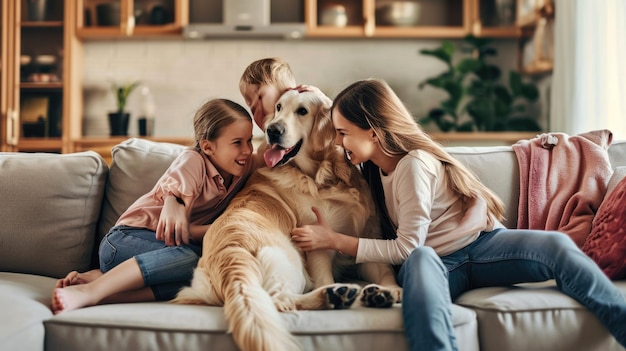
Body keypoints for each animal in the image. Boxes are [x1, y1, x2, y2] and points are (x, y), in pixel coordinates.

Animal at [173, 89, 402, 351]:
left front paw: (389, 291)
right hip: (290, 263)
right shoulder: (317, 246)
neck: (324, 177)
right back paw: (333, 295)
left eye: (302, 111)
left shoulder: (367, 238)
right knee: (279, 301)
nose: (272, 130)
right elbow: (323, 272)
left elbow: (385, 269)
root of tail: (230, 256)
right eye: (279, 107)